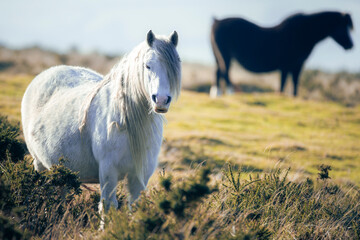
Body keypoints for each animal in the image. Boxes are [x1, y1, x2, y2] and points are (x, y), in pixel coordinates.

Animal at [21, 30, 181, 210]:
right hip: (39, 164)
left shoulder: (140, 176)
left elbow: (135, 207)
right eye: (147, 65)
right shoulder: (108, 171)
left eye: (175, 65)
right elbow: (108, 206)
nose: (161, 100)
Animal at [211, 10, 354, 96]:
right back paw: (230, 92)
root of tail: (216, 21)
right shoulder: (288, 66)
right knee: (224, 72)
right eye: (343, 27)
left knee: (218, 72)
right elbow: (284, 85)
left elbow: (293, 85)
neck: (303, 33)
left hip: (219, 56)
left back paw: (217, 93)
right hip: (225, 55)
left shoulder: (296, 66)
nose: (351, 45)